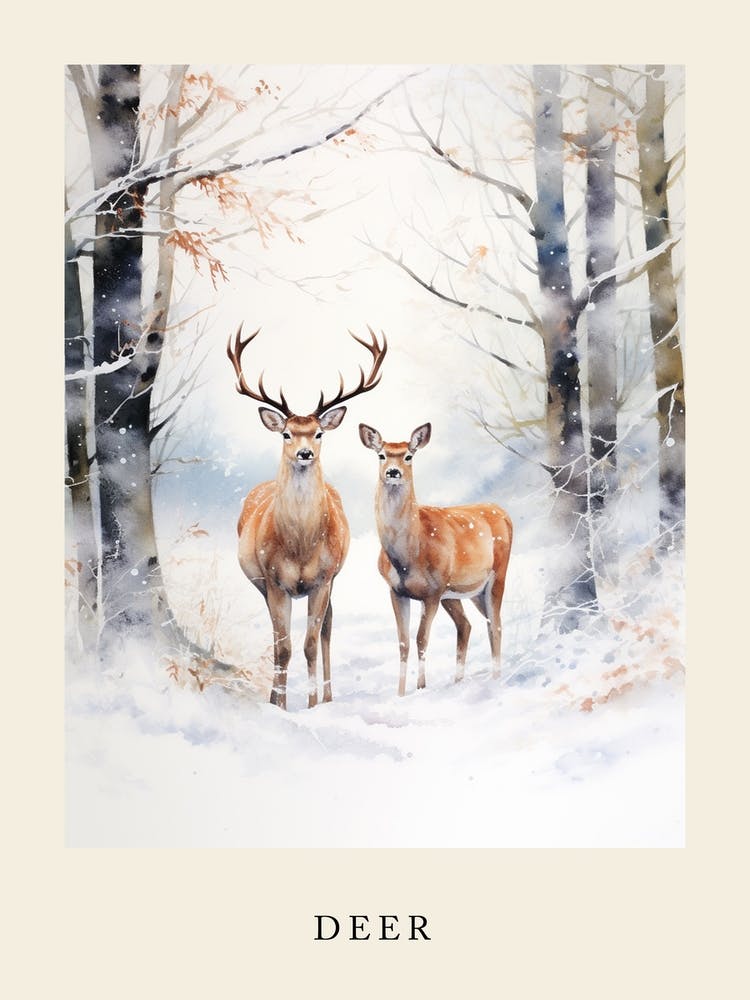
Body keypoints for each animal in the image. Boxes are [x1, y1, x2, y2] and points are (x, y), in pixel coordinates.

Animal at [228, 325, 388, 710]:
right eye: (287, 433)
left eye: (318, 432)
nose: (304, 453)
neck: (299, 547)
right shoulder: (274, 580)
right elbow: (284, 647)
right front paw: (279, 705)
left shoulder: (323, 579)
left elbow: (310, 644)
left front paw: (314, 704)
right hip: (261, 584)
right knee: (277, 640)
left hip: (333, 580)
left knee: (328, 627)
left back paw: (327, 696)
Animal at [359, 422, 512, 696]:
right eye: (381, 455)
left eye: (409, 455)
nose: (393, 472)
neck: (407, 556)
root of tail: (503, 512)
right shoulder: (396, 591)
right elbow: (403, 642)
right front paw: (400, 693)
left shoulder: (432, 592)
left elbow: (421, 638)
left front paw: (421, 686)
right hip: (460, 592)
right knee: (468, 625)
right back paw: (458, 680)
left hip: (497, 574)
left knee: (495, 624)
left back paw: (496, 678)